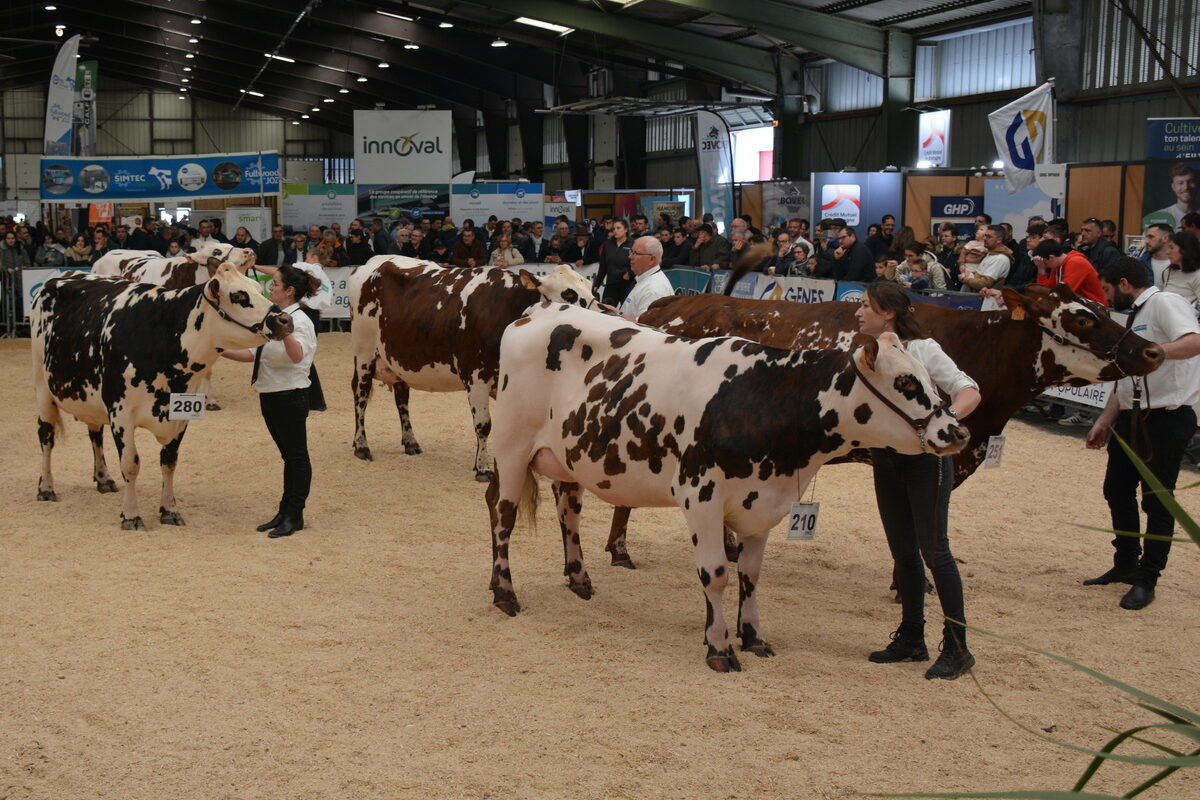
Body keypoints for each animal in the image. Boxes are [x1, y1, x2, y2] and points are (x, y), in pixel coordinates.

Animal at [31, 263, 294, 532]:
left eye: (259, 289)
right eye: (238, 296)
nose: (285, 319)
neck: (164, 334)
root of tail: (63, 277)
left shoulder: (181, 414)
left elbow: (169, 462)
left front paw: (169, 510)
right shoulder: (120, 413)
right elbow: (131, 464)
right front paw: (131, 515)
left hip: (90, 397)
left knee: (95, 432)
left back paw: (103, 478)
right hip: (43, 387)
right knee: (46, 436)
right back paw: (46, 487)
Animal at [350, 256, 597, 482]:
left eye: (591, 292)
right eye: (568, 294)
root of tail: (370, 263)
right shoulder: (476, 378)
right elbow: (484, 425)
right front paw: (483, 469)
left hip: (397, 361)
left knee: (401, 398)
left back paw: (410, 442)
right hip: (364, 353)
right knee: (360, 395)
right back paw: (361, 446)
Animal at [482, 299, 969, 671]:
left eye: (930, 376)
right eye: (905, 381)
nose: (956, 431)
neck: (758, 398)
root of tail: (541, 310)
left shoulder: (763, 505)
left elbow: (750, 575)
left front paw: (751, 636)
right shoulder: (701, 496)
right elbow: (715, 574)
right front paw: (719, 646)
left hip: (570, 457)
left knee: (567, 508)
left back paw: (579, 578)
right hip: (510, 446)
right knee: (502, 512)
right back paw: (504, 592)